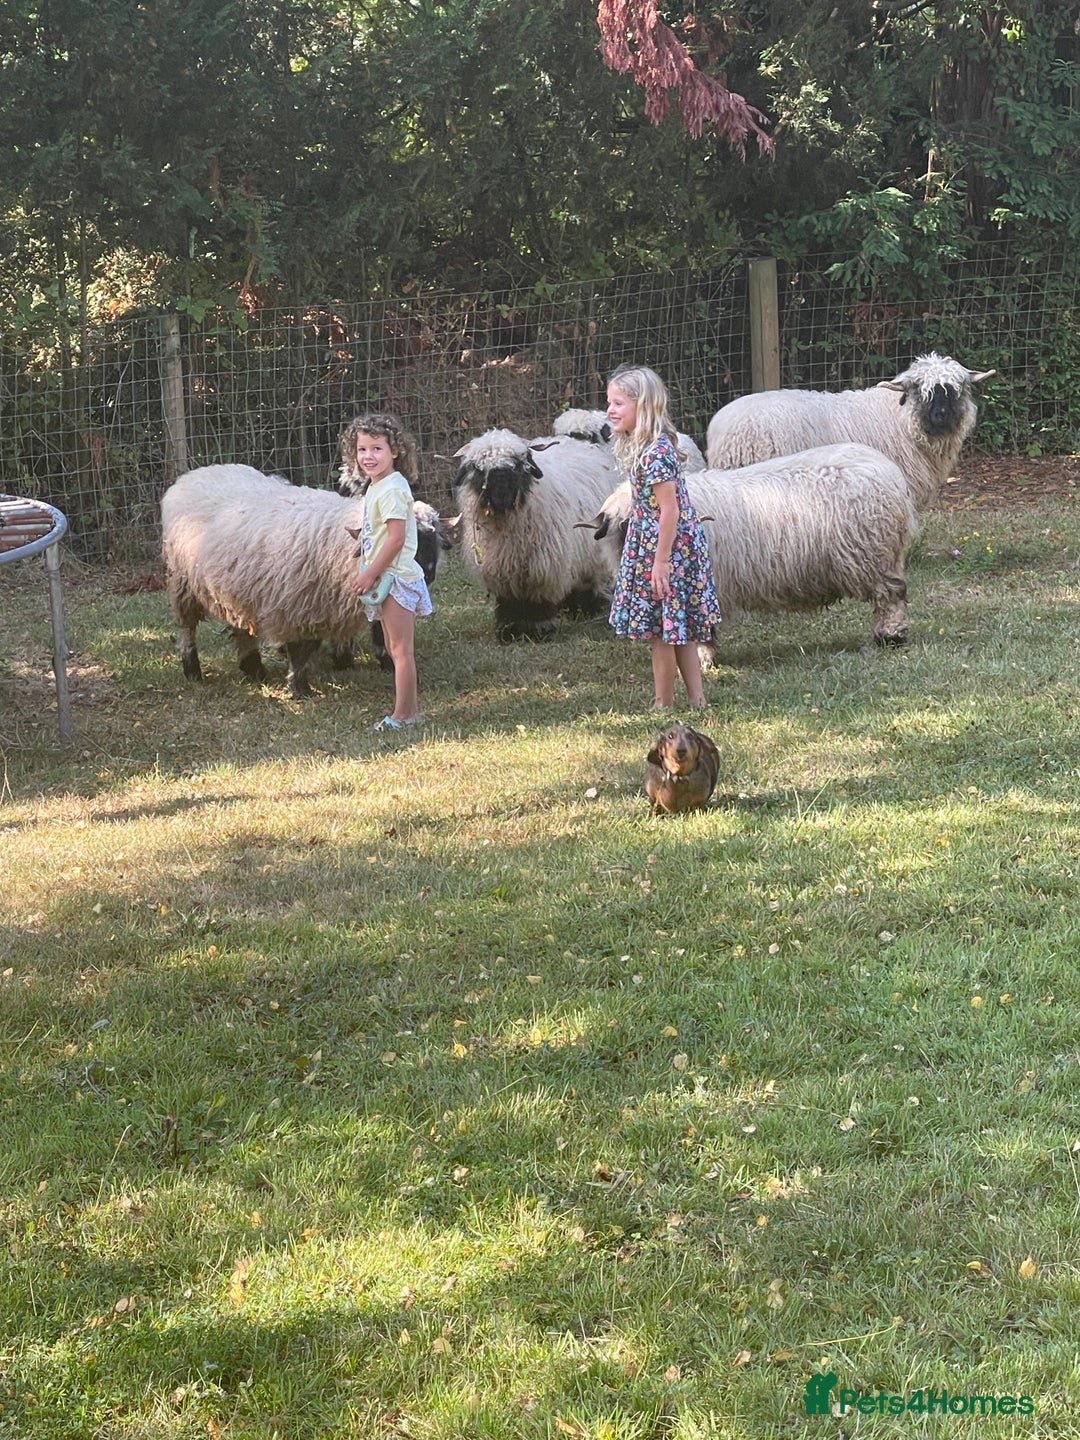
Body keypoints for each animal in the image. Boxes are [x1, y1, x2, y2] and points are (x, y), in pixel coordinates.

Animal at [161, 464, 448, 696]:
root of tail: (192, 475)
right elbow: (302, 648)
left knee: (241, 626)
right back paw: (192, 669)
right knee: (187, 628)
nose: (429, 573)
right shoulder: (296, 606)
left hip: (236, 586)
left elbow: (379, 631)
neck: (337, 544)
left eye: (431, 540)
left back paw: (253, 667)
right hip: (183, 584)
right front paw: (300, 688)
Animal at [453, 428, 621, 641]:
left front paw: (539, 631)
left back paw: (584, 608)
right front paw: (509, 632)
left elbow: (538, 601)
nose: (501, 494)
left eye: (518, 465)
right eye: (478, 468)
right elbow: (508, 603)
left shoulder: (541, 568)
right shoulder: (501, 569)